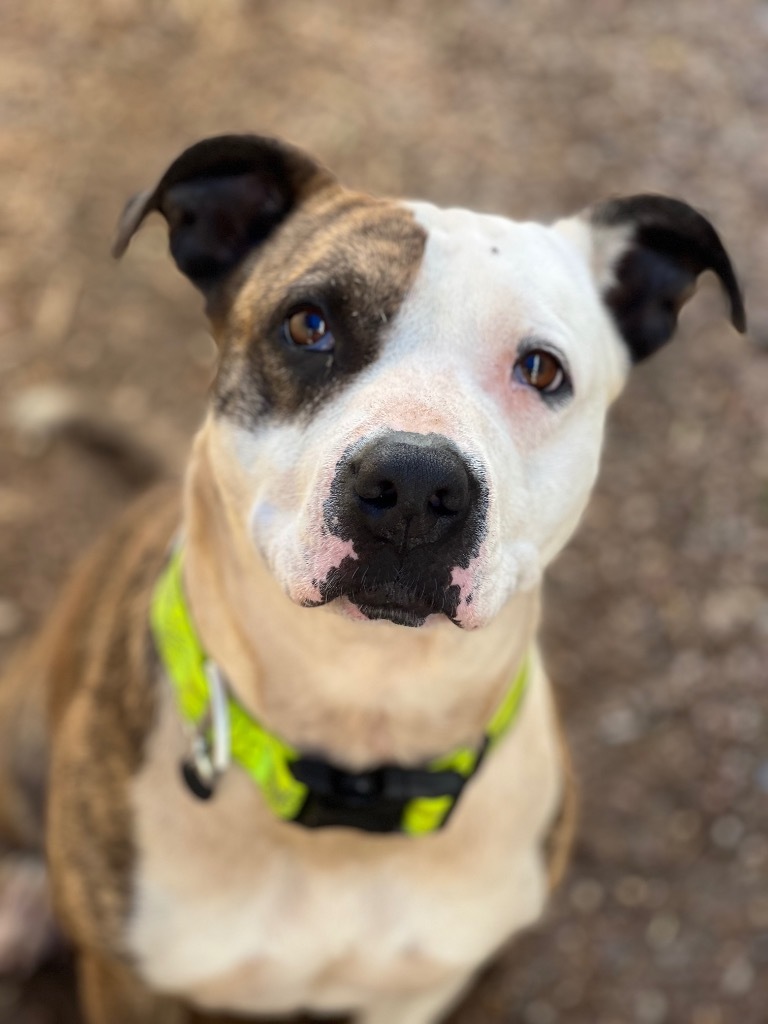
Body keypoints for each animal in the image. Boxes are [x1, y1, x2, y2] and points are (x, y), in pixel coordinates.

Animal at [0, 138, 749, 1024]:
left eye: (542, 370)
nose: (416, 486)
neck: (362, 709)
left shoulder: (438, 986)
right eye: (307, 324)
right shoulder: (131, 986)